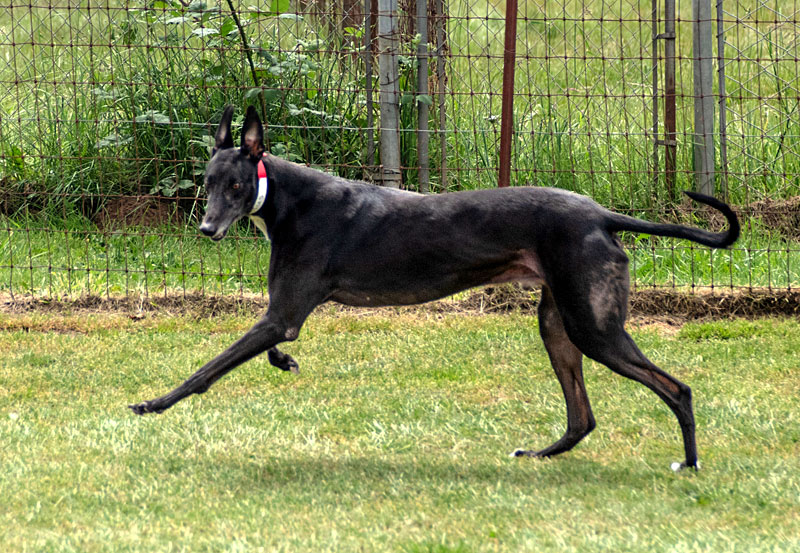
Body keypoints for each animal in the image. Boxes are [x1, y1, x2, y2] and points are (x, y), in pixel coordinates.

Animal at [130, 104, 736, 470]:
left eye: (236, 185)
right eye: (207, 181)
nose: (207, 229)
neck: (286, 198)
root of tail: (601, 215)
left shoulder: (282, 314)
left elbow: (207, 369)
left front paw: (154, 403)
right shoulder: (285, 313)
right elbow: (269, 344)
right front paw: (283, 362)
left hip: (593, 327)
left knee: (676, 389)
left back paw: (690, 462)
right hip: (557, 323)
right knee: (582, 416)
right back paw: (543, 454)